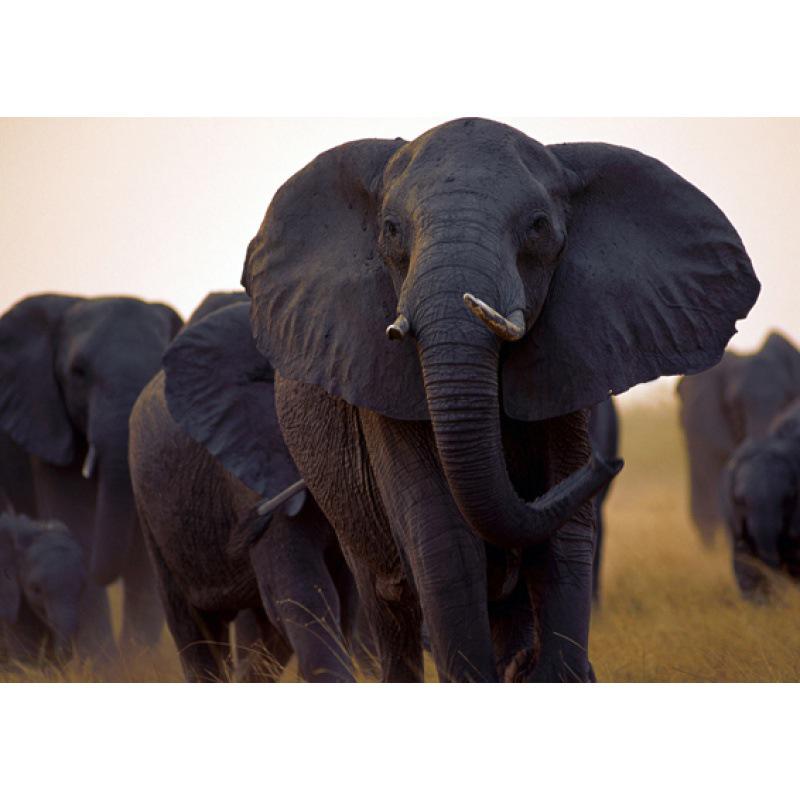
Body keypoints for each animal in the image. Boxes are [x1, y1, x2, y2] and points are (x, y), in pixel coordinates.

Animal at [242, 117, 759, 682]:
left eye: (537, 226)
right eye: (392, 231)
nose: (610, 460)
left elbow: (561, 534)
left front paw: (554, 673)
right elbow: (443, 538)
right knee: (388, 606)